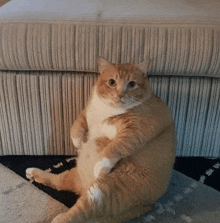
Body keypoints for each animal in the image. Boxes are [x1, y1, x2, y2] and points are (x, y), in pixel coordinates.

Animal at [26, 57, 177, 223]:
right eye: (112, 82)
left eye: (132, 84)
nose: (120, 94)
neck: (108, 108)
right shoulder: (87, 113)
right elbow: (76, 126)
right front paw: (78, 142)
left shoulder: (136, 130)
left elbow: (116, 147)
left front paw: (100, 166)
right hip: (78, 175)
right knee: (58, 181)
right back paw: (33, 172)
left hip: (101, 192)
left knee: (78, 213)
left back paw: (59, 217)